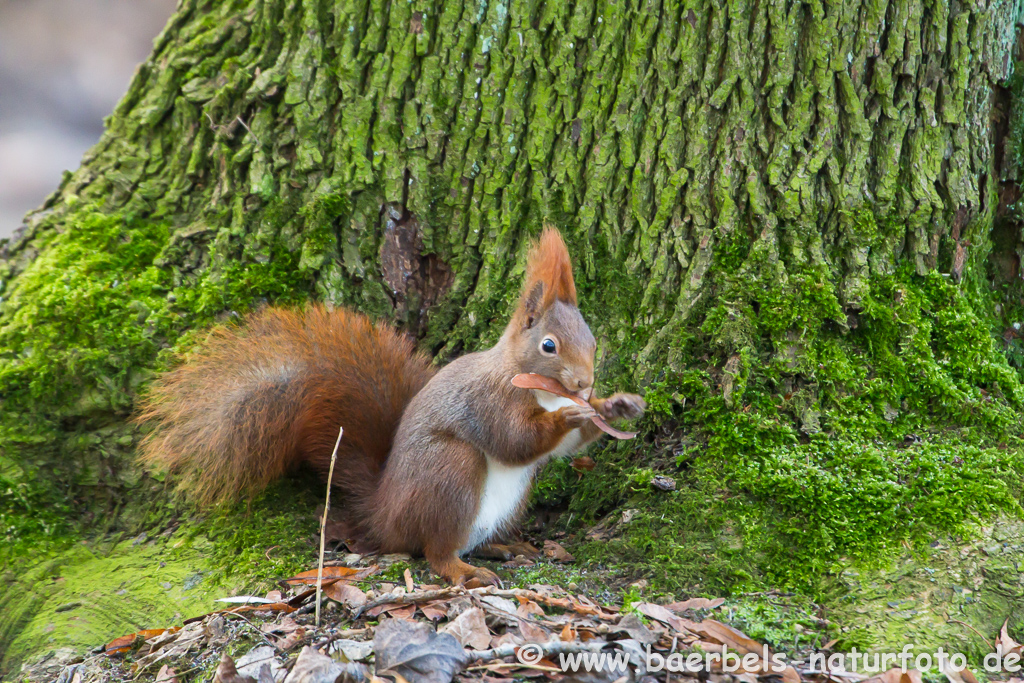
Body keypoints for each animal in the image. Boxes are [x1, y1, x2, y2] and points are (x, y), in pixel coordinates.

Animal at [139, 227, 643, 585]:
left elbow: (565, 448)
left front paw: (615, 405)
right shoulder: (487, 401)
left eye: (592, 340)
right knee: (436, 551)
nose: (585, 384)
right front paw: (568, 415)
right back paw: (465, 570)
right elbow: (515, 440)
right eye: (549, 345)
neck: (536, 386)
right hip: (450, 473)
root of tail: (382, 512)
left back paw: (504, 547)